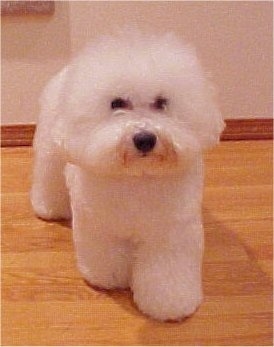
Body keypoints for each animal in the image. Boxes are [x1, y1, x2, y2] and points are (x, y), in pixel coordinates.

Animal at [31, 31, 225, 322]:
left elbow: (166, 272)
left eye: (162, 103)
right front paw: (108, 278)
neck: (136, 177)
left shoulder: (169, 233)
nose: (144, 138)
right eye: (117, 103)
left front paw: (170, 304)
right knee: (48, 175)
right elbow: (107, 257)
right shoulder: (100, 226)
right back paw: (49, 207)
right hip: (50, 149)